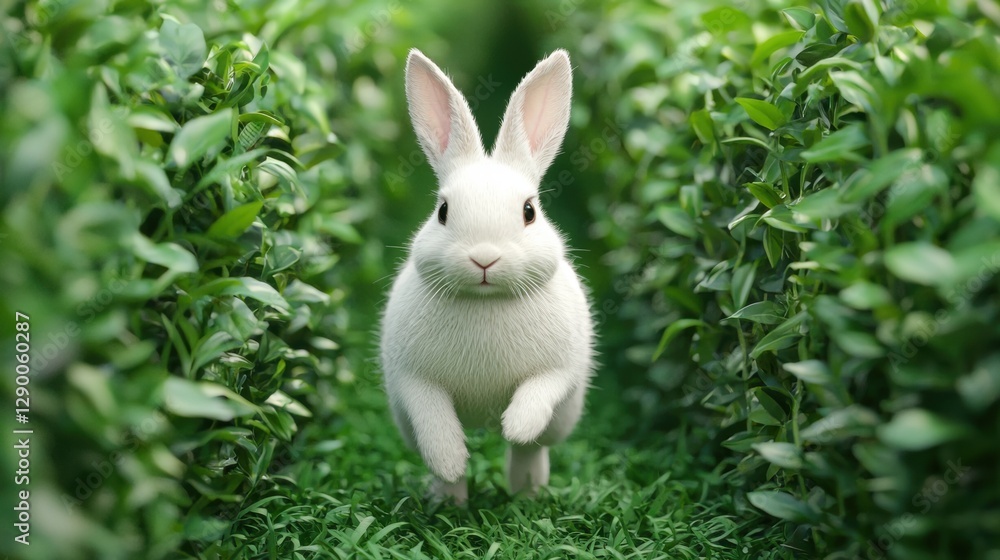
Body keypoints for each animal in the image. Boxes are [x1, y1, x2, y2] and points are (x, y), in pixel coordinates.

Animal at [380, 48, 595, 504]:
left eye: (529, 211)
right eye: (443, 211)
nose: (484, 259)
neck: (486, 299)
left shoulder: (558, 370)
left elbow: (538, 393)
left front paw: (514, 427)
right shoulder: (413, 380)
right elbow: (433, 419)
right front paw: (450, 460)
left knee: (531, 452)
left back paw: (526, 493)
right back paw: (449, 501)